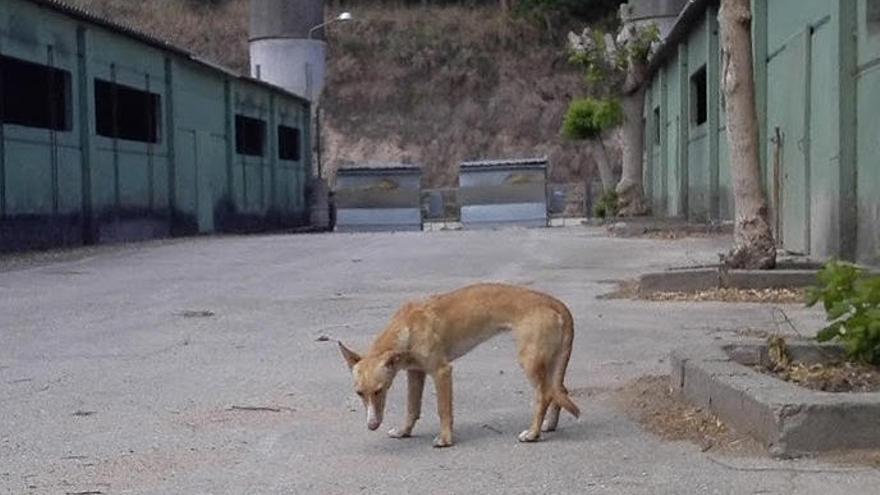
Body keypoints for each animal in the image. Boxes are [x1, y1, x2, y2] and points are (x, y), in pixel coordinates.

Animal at [336, 282, 576, 450]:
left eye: (379, 391)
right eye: (359, 393)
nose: (371, 425)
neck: (407, 326)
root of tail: (554, 302)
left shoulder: (441, 372)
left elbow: (443, 410)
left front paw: (445, 439)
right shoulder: (416, 373)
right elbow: (412, 408)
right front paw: (405, 431)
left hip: (530, 361)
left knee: (544, 395)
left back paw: (533, 433)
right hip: (549, 363)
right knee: (560, 390)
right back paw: (550, 424)